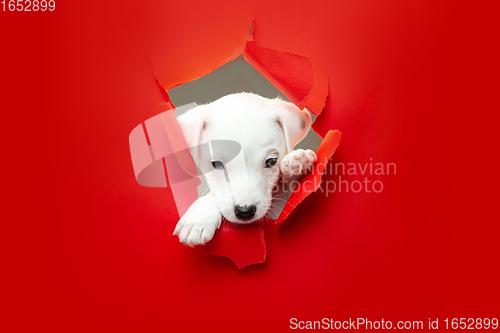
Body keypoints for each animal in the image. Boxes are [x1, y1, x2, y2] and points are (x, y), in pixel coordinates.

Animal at [174, 92, 316, 245]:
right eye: (216, 164)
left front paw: (297, 162)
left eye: (271, 161)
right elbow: (213, 195)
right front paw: (200, 216)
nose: (245, 212)